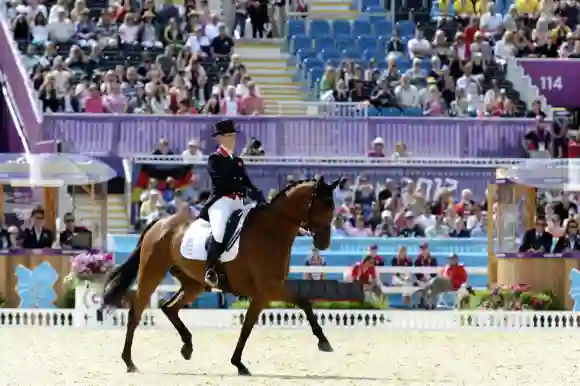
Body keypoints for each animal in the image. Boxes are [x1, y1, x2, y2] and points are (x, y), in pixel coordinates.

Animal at [102, 177, 342, 374]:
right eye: (324, 205)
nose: (324, 243)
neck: (271, 231)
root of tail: (160, 223)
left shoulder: (263, 293)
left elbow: (249, 326)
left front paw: (238, 363)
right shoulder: (271, 288)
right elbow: (302, 302)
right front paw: (324, 342)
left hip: (193, 283)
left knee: (169, 308)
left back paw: (187, 347)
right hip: (152, 273)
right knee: (136, 312)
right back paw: (129, 362)